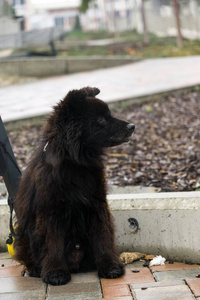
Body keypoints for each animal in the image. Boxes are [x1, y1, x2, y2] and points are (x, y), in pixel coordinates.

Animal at [13, 85, 135, 284]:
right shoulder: (51, 211)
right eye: (101, 119)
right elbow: (53, 243)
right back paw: (37, 269)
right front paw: (55, 272)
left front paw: (110, 266)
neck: (75, 161)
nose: (132, 126)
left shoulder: (96, 206)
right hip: (25, 236)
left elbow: (102, 238)